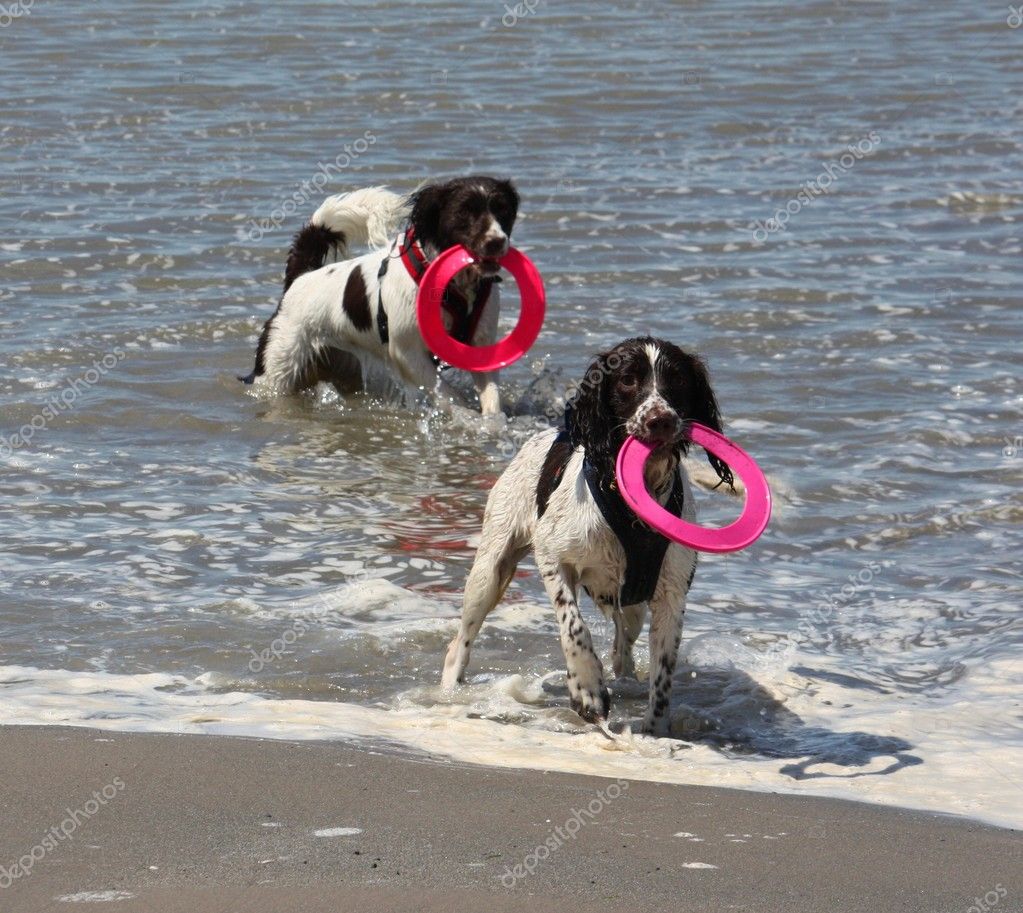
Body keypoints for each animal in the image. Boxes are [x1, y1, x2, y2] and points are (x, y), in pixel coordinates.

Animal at [243, 176, 519, 417]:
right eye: (464, 212)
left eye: (503, 210)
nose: (496, 241)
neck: (453, 286)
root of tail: (301, 277)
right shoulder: (406, 352)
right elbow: (448, 394)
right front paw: (467, 417)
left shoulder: (481, 345)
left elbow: (490, 396)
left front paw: (492, 423)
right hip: (278, 367)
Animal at [443, 337, 732, 732]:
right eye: (627, 380)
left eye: (678, 380)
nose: (660, 420)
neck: (628, 505)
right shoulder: (553, 557)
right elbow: (574, 628)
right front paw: (588, 690)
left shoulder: (672, 592)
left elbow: (663, 673)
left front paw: (655, 731)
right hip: (489, 571)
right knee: (460, 640)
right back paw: (449, 691)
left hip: (633, 605)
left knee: (623, 645)